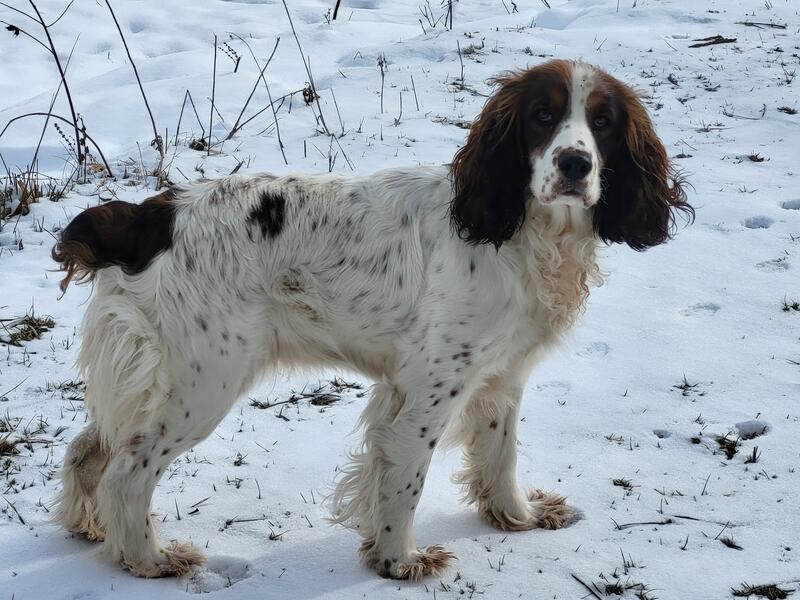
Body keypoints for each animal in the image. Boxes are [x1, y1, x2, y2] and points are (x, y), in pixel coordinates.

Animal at [51, 59, 692, 580]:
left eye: (602, 122)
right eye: (542, 115)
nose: (576, 163)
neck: (522, 234)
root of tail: (147, 217)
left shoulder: (502, 377)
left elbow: (500, 455)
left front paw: (519, 515)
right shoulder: (429, 388)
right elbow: (406, 479)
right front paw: (399, 561)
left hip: (152, 381)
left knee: (89, 451)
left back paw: (93, 529)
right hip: (204, 381)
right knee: (128, 473)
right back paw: (149, 559)